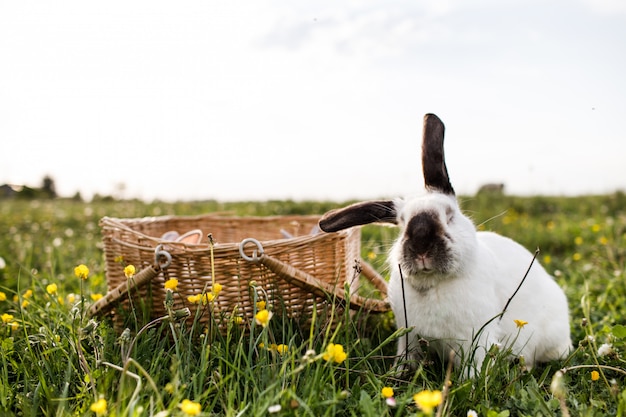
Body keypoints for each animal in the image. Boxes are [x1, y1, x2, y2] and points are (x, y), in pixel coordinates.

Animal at [320, 114, 568, 376]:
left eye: (449, 215)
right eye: (402, 223)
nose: (422, 244)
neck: (433, 284)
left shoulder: (476, 341)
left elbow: (473, 367)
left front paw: (469, 382)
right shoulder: (408, 337)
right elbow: (406, 357)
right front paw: (397, 374)